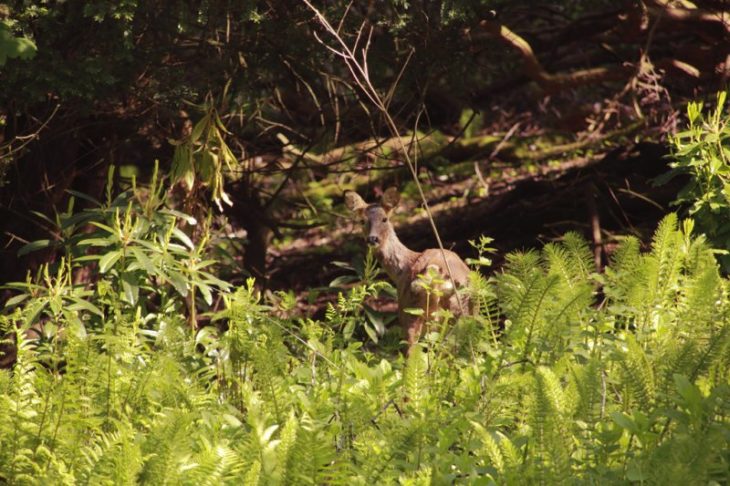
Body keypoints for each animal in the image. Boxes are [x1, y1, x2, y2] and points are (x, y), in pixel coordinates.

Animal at [346, 187, 472, 354]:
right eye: (362, 221)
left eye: (384, 219)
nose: (372, 239)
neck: (403, 268)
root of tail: (434, 278)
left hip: (412, 311)